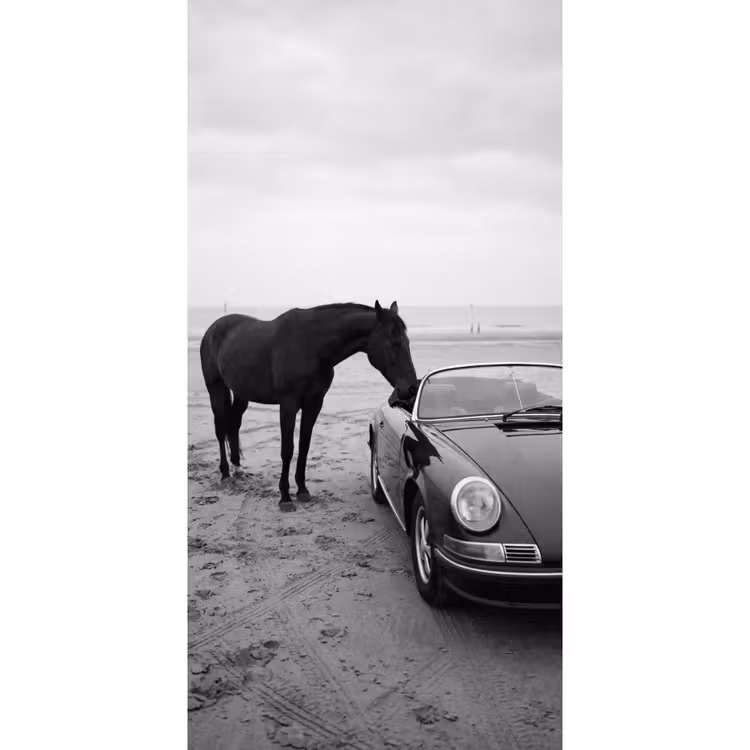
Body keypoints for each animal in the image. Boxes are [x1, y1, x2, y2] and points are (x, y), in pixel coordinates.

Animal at [200, 300, 419, 511]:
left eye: (407, 342)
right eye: (394, 343)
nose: (411, 388)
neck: (311, 346)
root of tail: (213, 329)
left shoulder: (314, 404)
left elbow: (304, 446)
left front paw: (302, 490)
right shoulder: (288, 405)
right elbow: (287, 449)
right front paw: (285, 497)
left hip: (241, 394)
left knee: (233, 425)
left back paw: (237, 468)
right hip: (215, 389)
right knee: (220, 428)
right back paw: (225, 474)